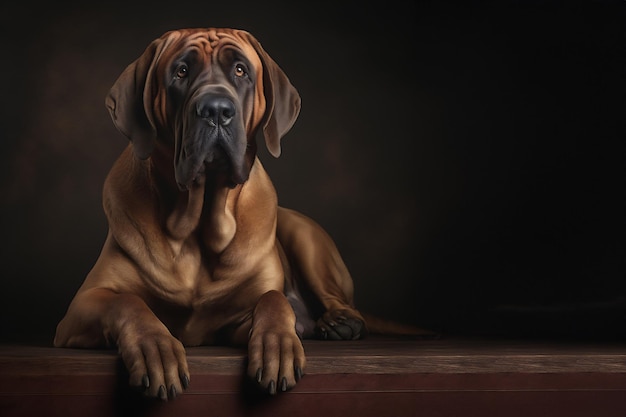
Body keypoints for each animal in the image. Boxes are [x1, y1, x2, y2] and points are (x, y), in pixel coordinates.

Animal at [54, 27, 424, 398]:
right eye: (181, 71)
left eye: (241, 70)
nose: (216, 110)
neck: (197, 225)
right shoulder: (81, 306)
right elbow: (127, 303)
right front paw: (154, 347)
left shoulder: (241, 316)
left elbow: (273, 301)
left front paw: (279, 344)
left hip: (306, 237)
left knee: (339, 299)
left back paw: (338, 322)